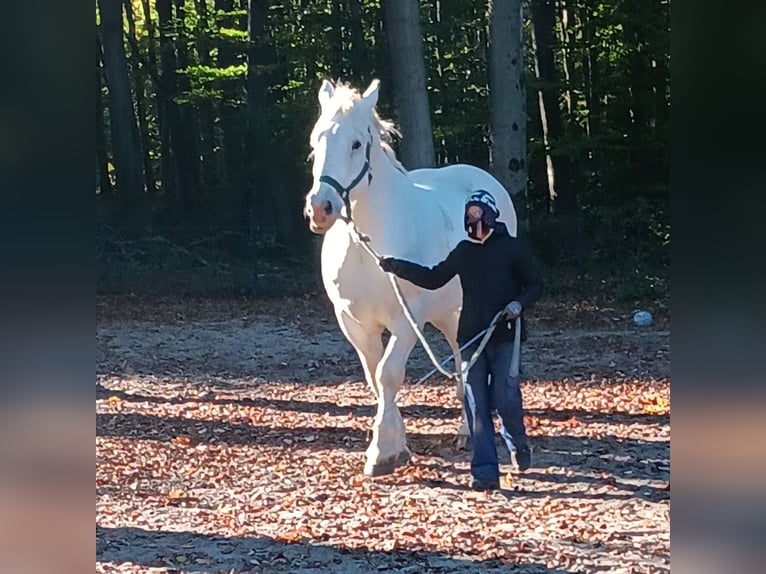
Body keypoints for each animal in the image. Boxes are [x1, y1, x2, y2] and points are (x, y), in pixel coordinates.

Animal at [303, 79, 517, 476]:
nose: (320, 209)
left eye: (356, 144)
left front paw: (382, 454)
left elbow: (389, 374)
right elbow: (375, 377)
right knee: (461, 360)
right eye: (315, 141)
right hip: (450, 315)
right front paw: (396, 444)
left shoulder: (408, 318)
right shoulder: (353, 322)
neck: (367, 247)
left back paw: (469, 432)